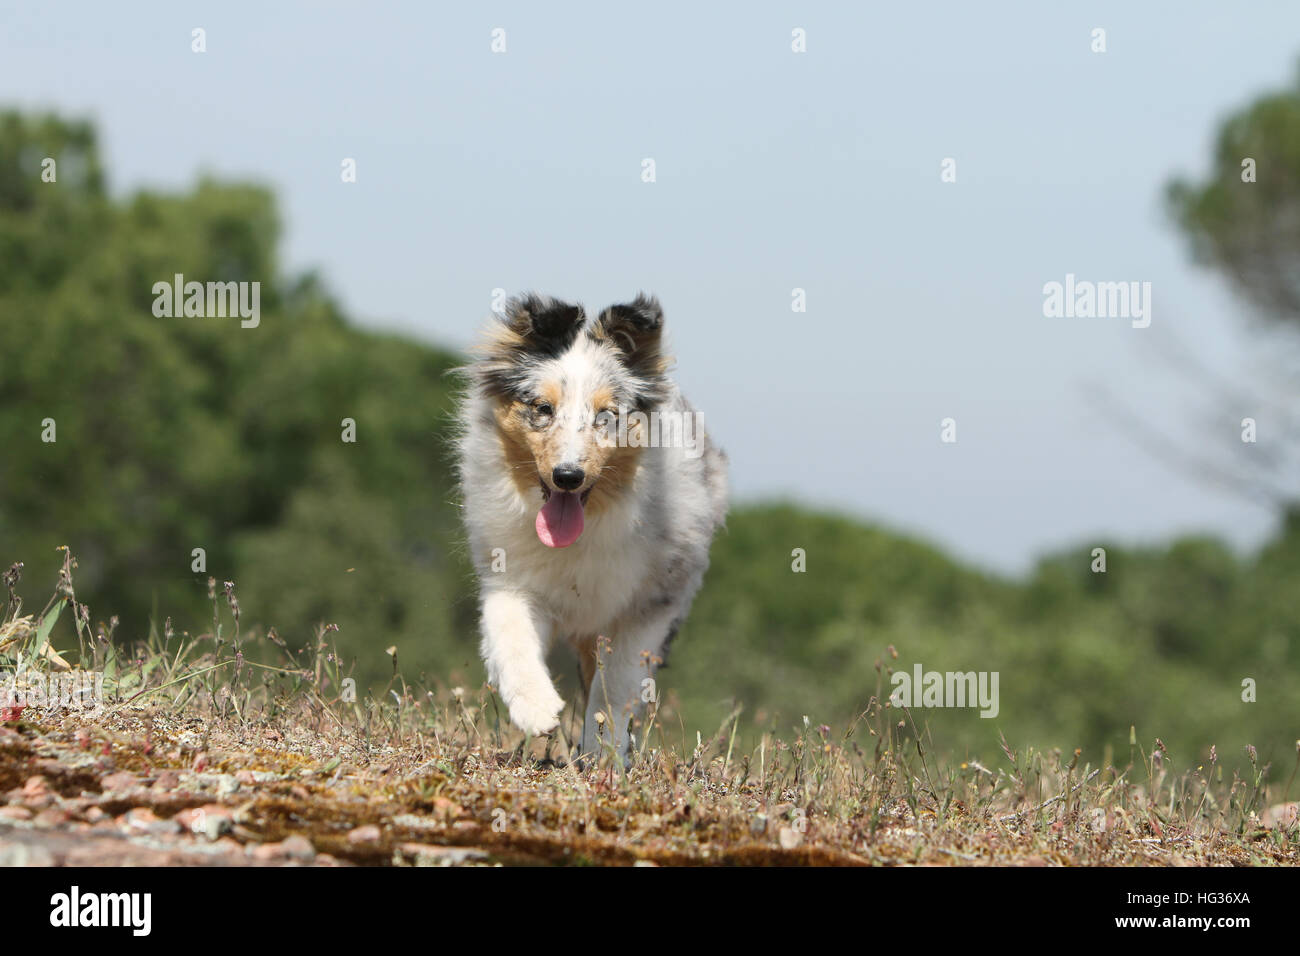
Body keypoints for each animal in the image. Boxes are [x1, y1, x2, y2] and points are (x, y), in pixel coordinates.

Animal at [457, 291, 728, 764]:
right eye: (543, 409)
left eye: (606, 415)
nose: (567, 476)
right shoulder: (511, 578)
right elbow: (510, 634)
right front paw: (538, 709)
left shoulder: (649, 604)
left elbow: (615, 685)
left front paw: (603, 749)